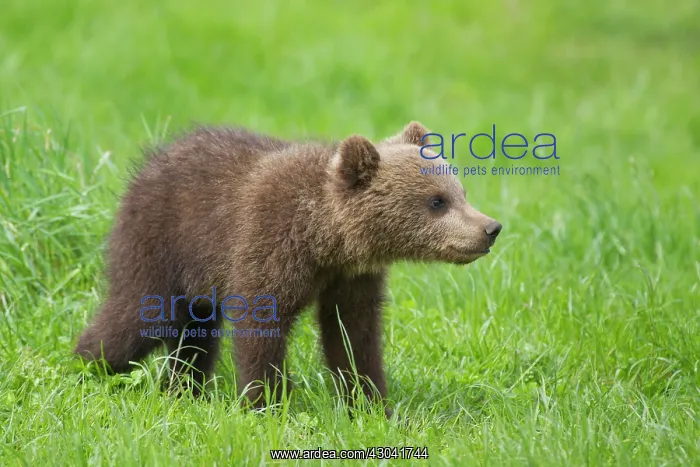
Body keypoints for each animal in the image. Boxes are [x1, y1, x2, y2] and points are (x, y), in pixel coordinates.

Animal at [74, 121, 502, 416]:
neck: (324, 239)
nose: (490, 228)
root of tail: (149, 163)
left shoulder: (351, 279)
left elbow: (354, 336)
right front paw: (266, 404)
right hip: (161, 245)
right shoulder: (268, 247)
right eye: (437, 201)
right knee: (138, 316)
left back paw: (185, 387)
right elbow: (260, 330)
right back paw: (86, 364)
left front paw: (372, 403)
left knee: (196, 334)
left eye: (460, 191)